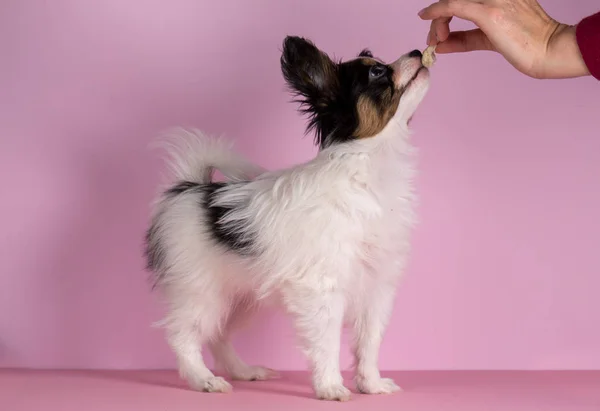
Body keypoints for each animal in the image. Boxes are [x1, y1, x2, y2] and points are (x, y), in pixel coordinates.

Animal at [144, 35, 428, 402]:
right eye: (377, 73)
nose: (417, 51)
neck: (371, 166)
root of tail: (190, 187)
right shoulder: (322, 289)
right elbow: (327, 343)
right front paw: (330, 387)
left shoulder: (377, 289)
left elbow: (369, 343)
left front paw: (371, 384)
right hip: (201, 292)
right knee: (184, 334)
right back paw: (203, 379)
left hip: (242, 299)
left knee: (219, 335)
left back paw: (243, 371)